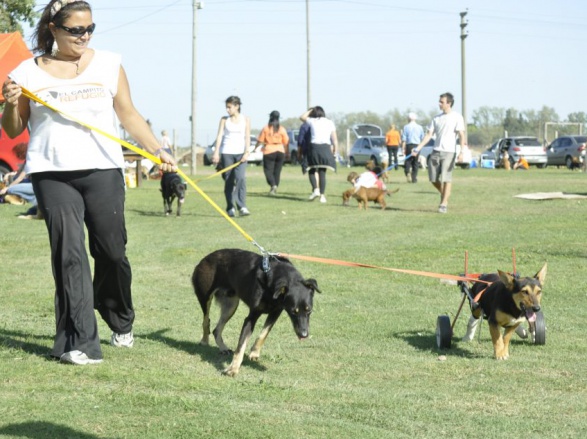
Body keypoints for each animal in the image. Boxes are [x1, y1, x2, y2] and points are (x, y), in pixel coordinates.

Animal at [192, 249, 321, 377]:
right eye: (293, 312)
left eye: (309, 310)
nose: (304, 335)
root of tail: (205, 259)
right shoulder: (251, 317)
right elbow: (240, 347)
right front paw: (233, 368)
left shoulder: (276, 312)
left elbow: (263, 334)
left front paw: (254, 352)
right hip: (205, 297)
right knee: (206, 321)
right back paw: (204, 340)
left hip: (231, 305)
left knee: (216, 329)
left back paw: (223, 348)